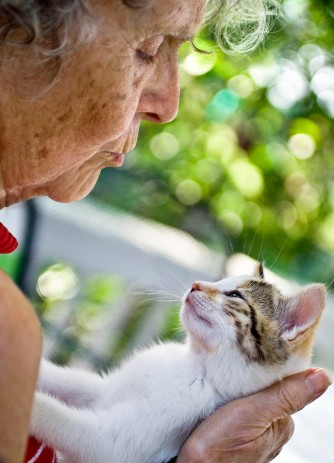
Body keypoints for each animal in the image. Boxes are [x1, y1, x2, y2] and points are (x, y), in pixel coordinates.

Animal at [31, 264, 326, 463]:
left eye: (234, 295)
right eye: (221, 279)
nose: (196, 284)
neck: (195, 362)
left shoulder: (115, 444)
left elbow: (59, 417)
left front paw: (30, 402)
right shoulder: (105, 390)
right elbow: (69, 382)